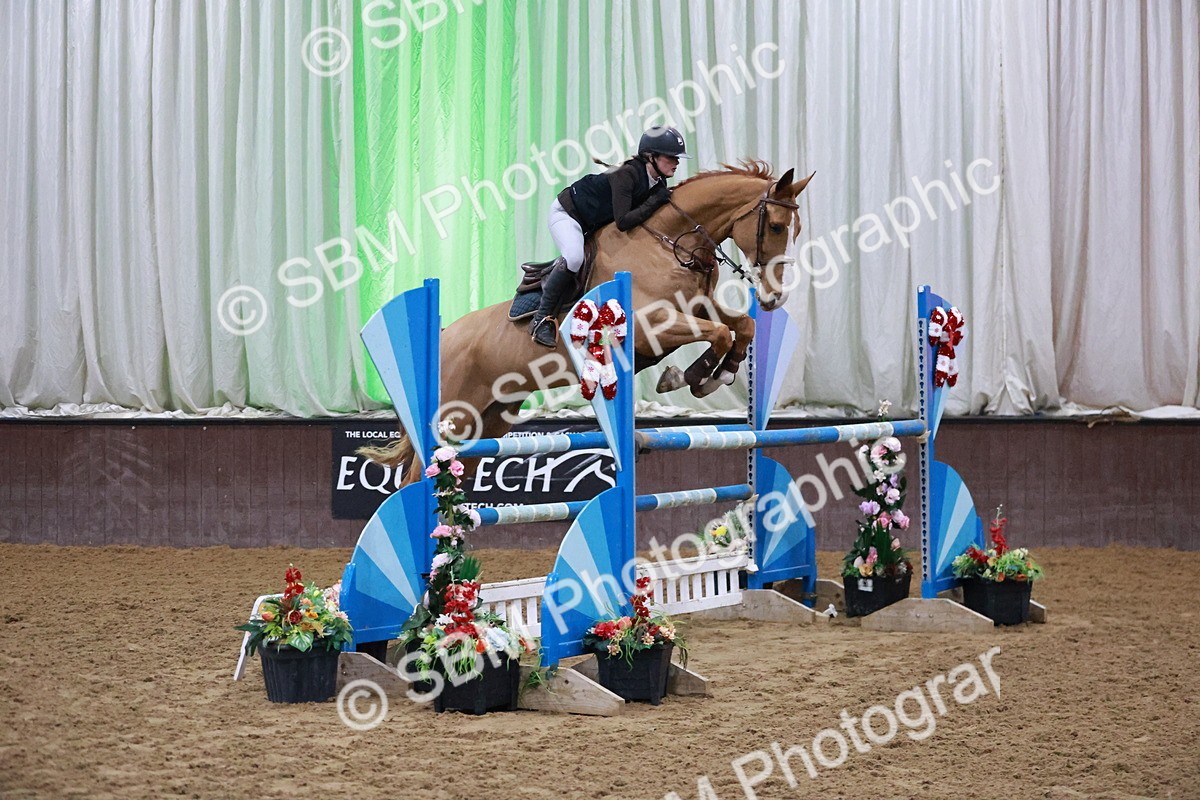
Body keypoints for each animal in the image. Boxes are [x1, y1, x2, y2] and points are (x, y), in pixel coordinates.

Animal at [361, 161, 814, 481]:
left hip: (490, 420)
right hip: (455, 415)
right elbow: (718, 333)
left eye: (796, 229)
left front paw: (718, 375)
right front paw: (690, 377)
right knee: (416, 478)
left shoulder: (695, 307)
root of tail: (441, 337)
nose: (775, 297)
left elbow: (739, 327)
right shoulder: (653, 325)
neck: (669, 244)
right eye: (776, 226)